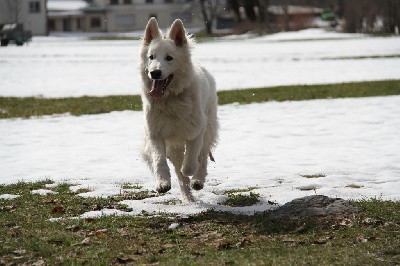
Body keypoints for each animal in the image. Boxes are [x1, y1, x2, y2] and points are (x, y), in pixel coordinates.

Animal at [139, 17, 217, 203]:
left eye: (169, 58)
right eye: (151, 57)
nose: (155, 73)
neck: (170, 100)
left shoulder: (196, 132)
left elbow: (190, 162)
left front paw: (191, 171)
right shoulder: (155, 134)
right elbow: (159, 161)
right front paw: (162, 183)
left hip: (209, 128)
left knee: (203, 156)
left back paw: (197, 180)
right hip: (174, 147)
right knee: (180, 174)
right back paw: (188, 198)